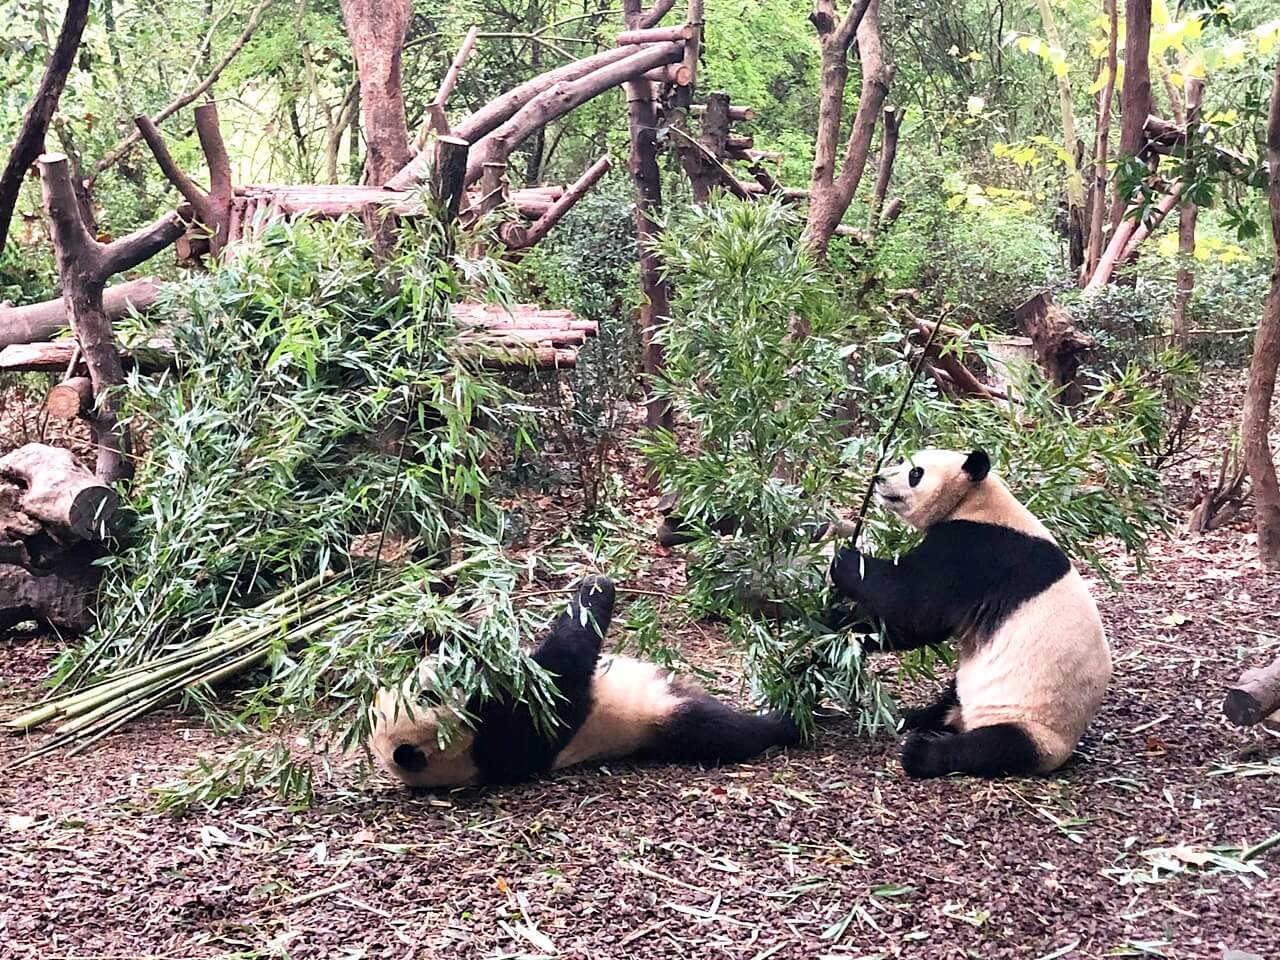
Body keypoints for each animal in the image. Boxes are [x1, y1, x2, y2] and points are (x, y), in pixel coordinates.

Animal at [366, 578, 793, 788]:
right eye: (428, 694)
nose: (448, 673)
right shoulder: (505, 735)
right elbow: (559, 673)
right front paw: (596, 586)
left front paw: (430, 623)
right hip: (654, 713)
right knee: (717, 729)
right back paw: (783, 721)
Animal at [829, 450, 1111, 783]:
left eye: (915, 473)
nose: (881, 478)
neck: (975, 501)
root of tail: (964, 721)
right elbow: (913, 626)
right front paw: (840, 626)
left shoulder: (977, 552)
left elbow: (916, 605)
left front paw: (845, 560)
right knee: (952, 697)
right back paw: (915, 718)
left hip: (1033, 725)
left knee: (996, 747)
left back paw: (921, 752)